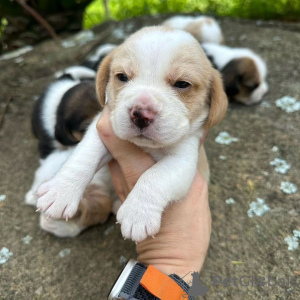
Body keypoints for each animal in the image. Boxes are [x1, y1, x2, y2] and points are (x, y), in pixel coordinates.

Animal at [35, 27, 227, 243]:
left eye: (182, 84)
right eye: (122, 77)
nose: (141, 114)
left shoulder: (183, 159)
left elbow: (156, 176)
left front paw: (138, 214)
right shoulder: (101, 131)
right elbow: (83, 157)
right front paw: (61, 191)